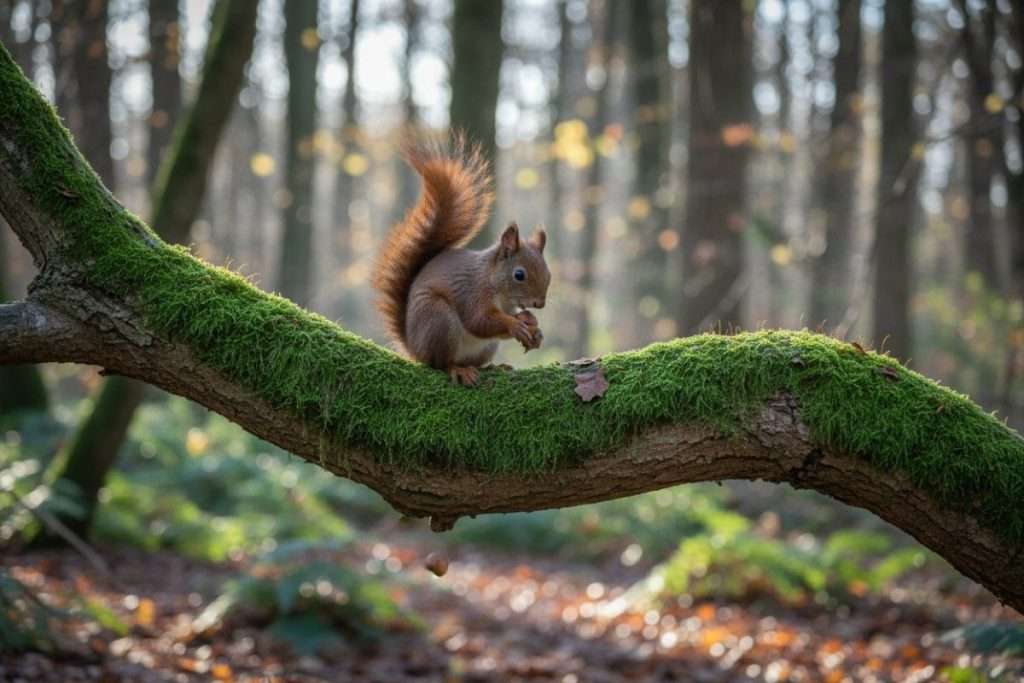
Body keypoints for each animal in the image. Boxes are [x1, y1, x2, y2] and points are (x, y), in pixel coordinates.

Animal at [373, 137, 550, 386]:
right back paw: (458, 370)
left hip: (485, 347)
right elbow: (479, 321)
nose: (540, 303)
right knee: (440, 363)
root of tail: (414, 348)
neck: (496, 286)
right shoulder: (472, 292)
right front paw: (515, 324)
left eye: (548, 273)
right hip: (439, 320)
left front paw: (532, 324)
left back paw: (494, 367)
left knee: (473, 360)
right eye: (519, 275)